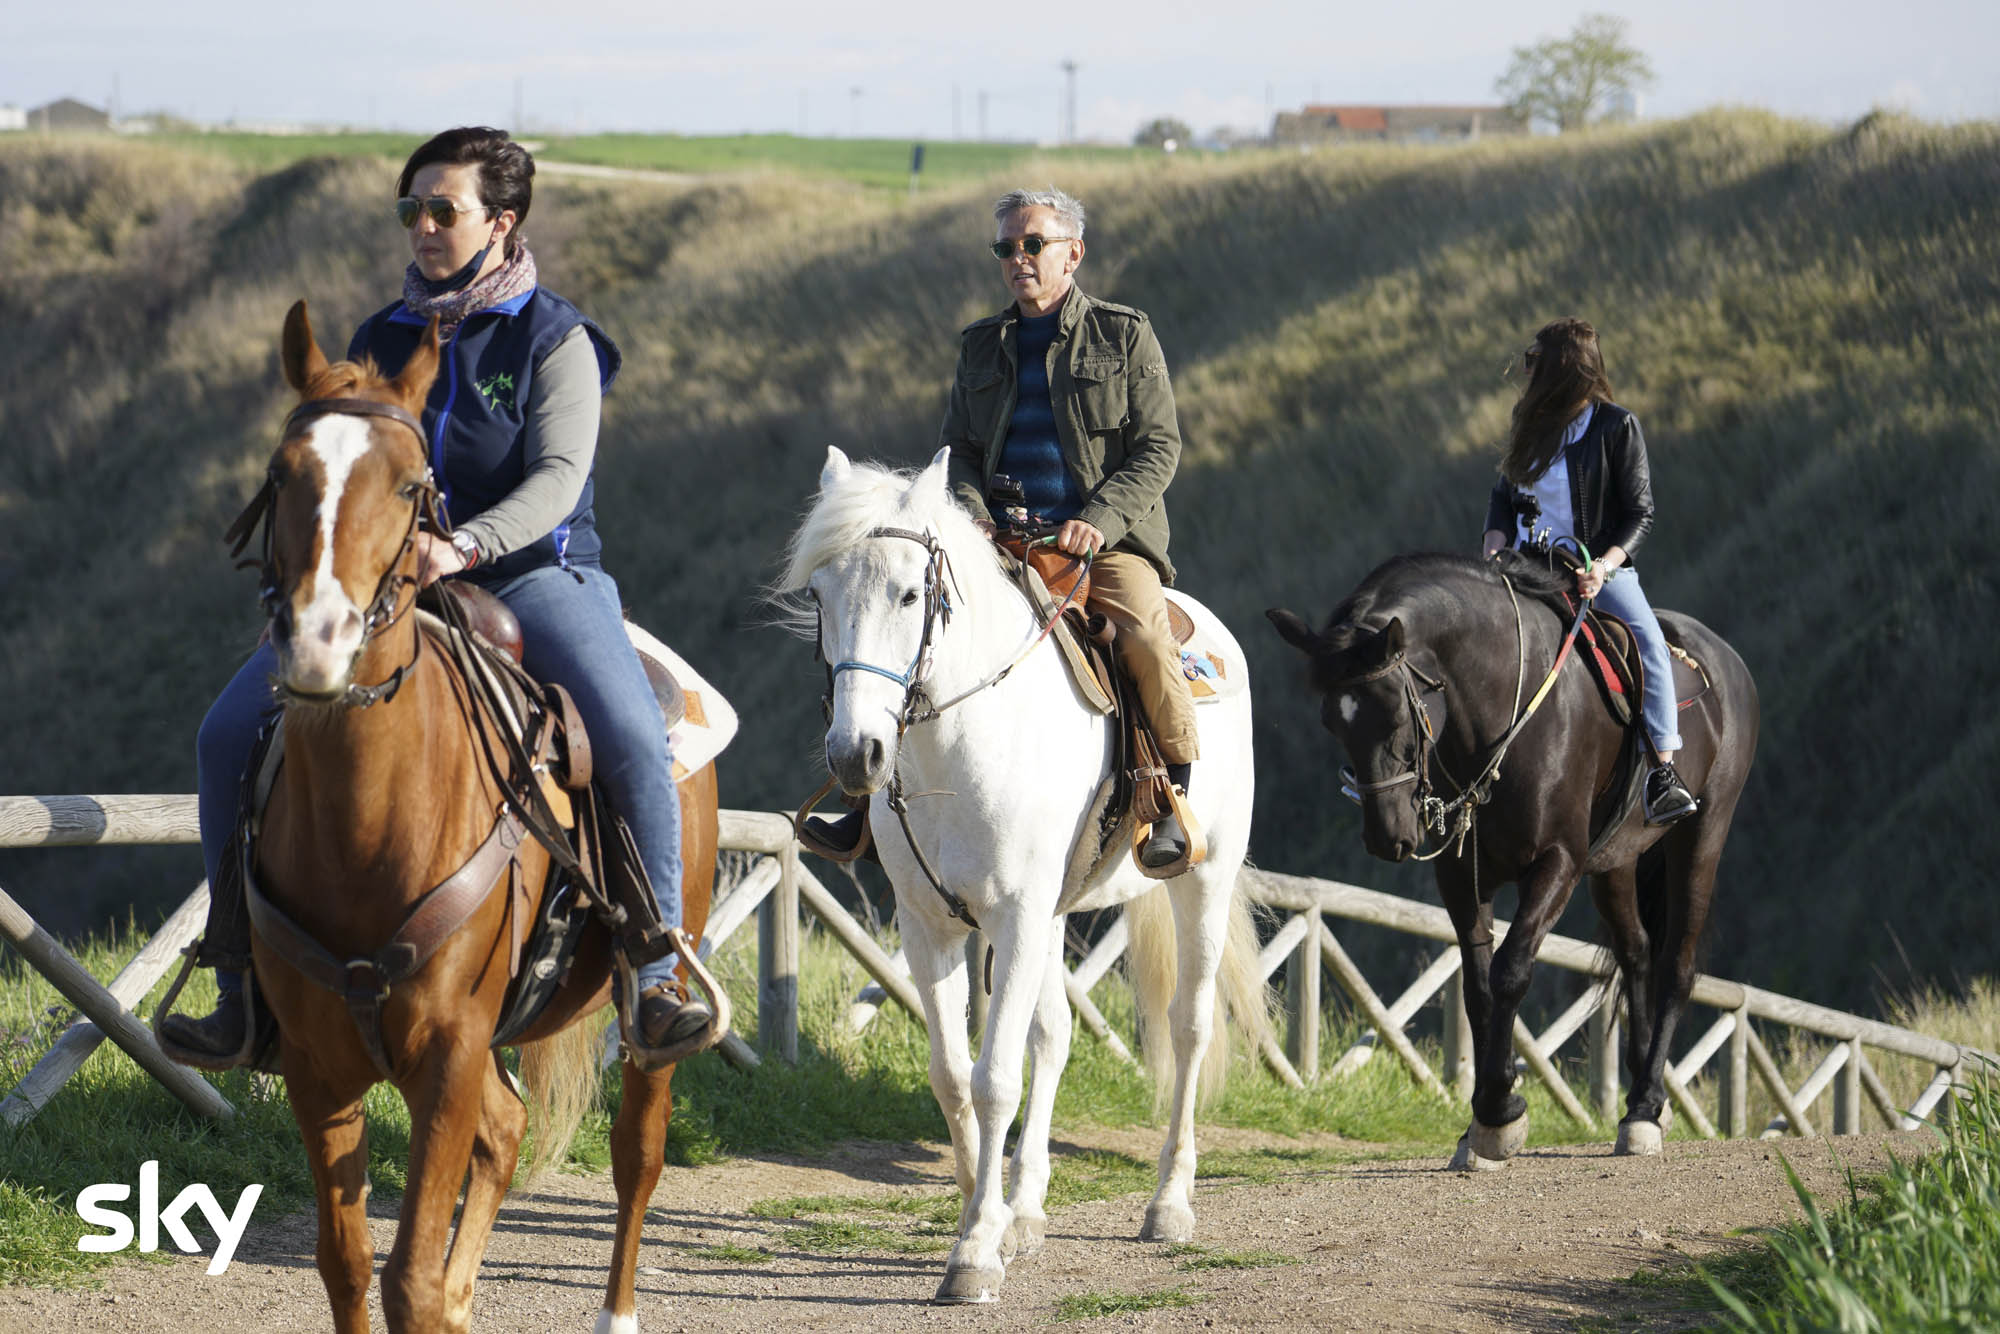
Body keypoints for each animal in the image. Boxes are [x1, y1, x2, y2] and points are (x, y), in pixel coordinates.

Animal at [249, 306, 716, 1334]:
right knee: (506, 1134)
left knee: (637, 1155)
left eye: (410, 483)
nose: (318, 642)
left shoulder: (451, 1053)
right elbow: (348, 1266)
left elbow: (409, 1280)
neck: (366, 827)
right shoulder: (315, 1067)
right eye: (283, 473)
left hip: (654, 1006)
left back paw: (617, 1309)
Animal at [784, 448, 1264, 1304]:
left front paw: (976, 1248)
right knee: (1055, 1036)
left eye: (911, 593)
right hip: (1050, 916)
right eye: (820, 594)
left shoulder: (1011, 917)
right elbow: (952, 1075)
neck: (961, 745)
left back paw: (1169, 1202)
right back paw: (1032, 1206)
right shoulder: (932, 926)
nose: (856, 755)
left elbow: (994, 1079)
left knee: (1188, 1027)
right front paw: (991, 1214)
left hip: (1198, 886)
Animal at [1272, 552, 1760, 1168]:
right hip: (1617, 863)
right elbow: (1477, 987)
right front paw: (1484, 1119)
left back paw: (1647, 1109)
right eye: (1332, 722)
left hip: (1700, 839)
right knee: (1637, 953)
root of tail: (1727, 660)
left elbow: (1509, 973)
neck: (1497, 706)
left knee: (1677, 964)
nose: (1387, 835)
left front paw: (1500, 1112)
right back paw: (1640, 1100)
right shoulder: (1462, 874)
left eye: (1396, 713)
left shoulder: (1557, 862)